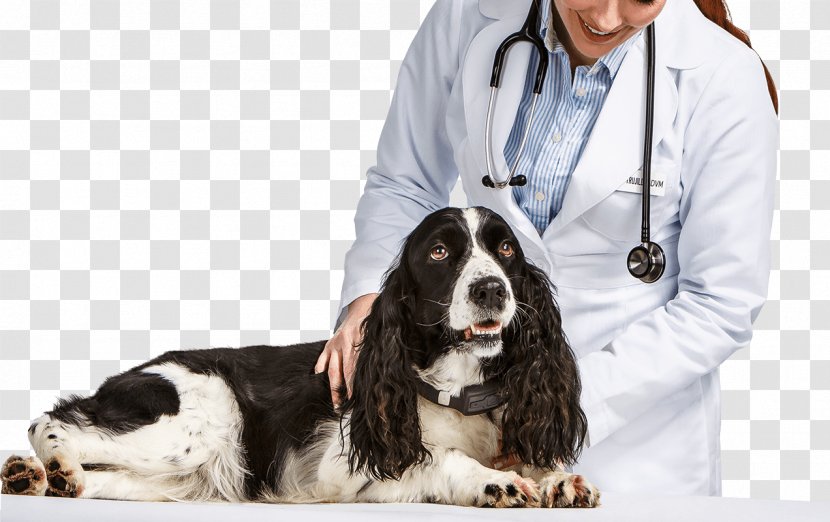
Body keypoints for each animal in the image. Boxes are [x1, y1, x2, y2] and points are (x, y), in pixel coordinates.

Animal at [0, 206, 600, 504]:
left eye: (506, 249)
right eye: (438, 252)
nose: (491, 289)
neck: (457, 385)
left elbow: (538, 461)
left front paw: (560, 480)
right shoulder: (345, 465)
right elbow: (442, 457)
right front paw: (494, 482)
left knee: (102, 476)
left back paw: (42, 478)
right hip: (194, 423)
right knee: (52, 420)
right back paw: (48, 465)